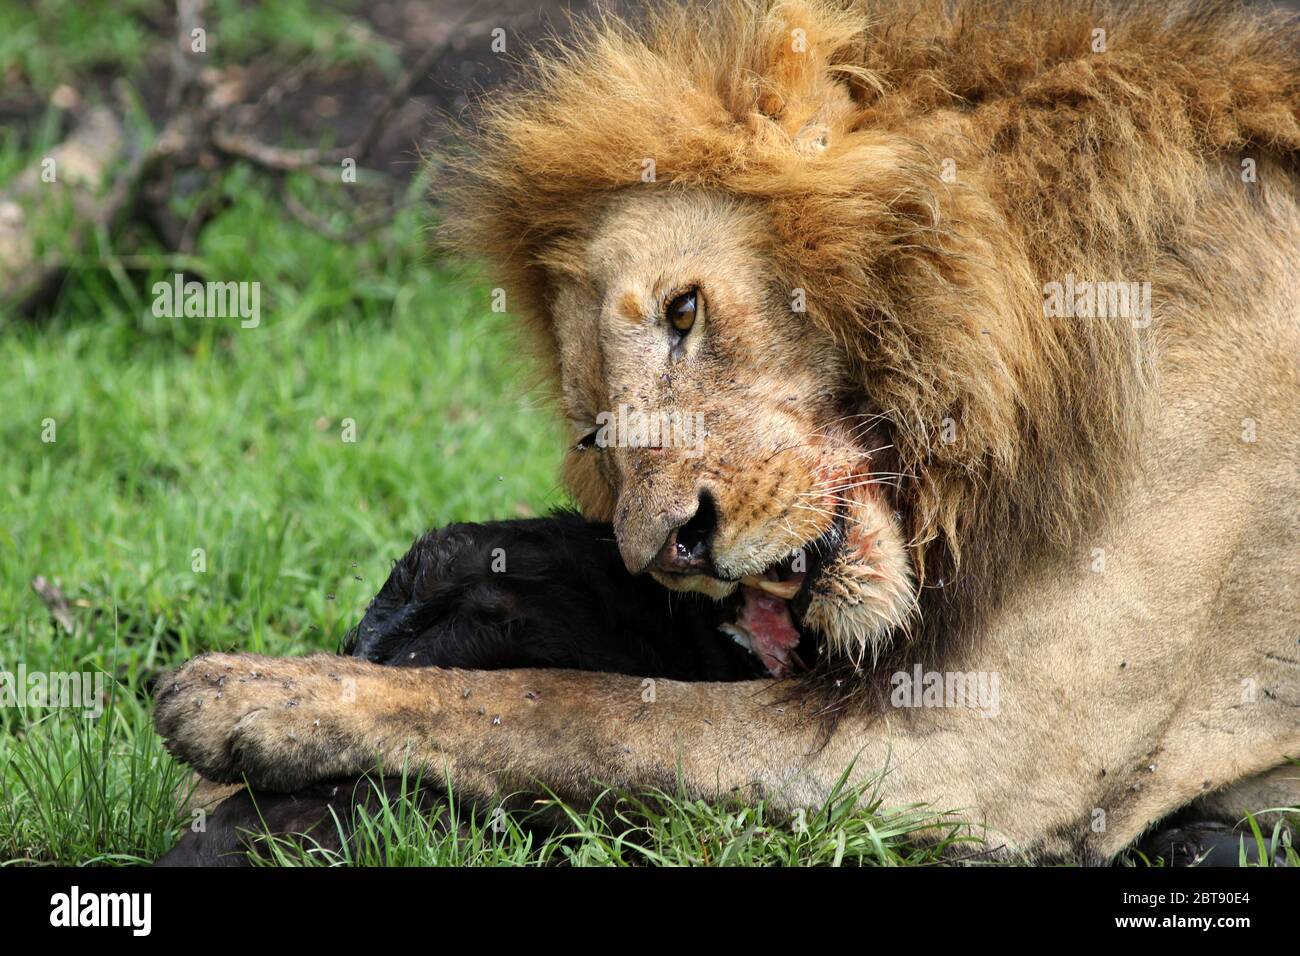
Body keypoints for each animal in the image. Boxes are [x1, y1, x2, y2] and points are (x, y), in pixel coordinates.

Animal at [154, 0, 1300, 868]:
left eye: (684, 310)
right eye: (596, 431)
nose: (672, 549)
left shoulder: (977, 750)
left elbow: (575, 709)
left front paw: (252, 696)